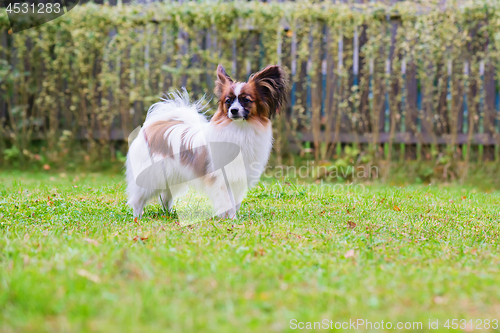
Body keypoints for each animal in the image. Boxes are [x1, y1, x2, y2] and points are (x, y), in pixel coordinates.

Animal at [126, 64, 290, 218]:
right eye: (228, 101)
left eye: (246, 100)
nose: (233, 111)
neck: (240, 130)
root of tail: (154, 126)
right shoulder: (222, 179)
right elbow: (228, 201)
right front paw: (232, 220)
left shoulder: (238, 178)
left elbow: (235, 202)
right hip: (152, 176)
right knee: (138, 199)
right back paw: (138, 217)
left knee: (166, 197)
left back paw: (169, 214)